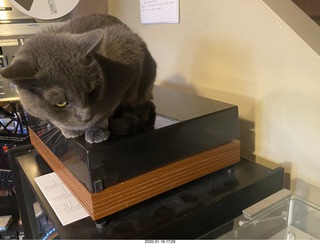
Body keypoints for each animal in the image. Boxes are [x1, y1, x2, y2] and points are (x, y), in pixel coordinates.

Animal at [0, 13, 157, 143]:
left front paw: (96, 129)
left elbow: (105, 110)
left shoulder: (126, 69)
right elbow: (55, 119)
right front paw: (69, 130)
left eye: (92, 92)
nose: (86, 117)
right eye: (60, 104)